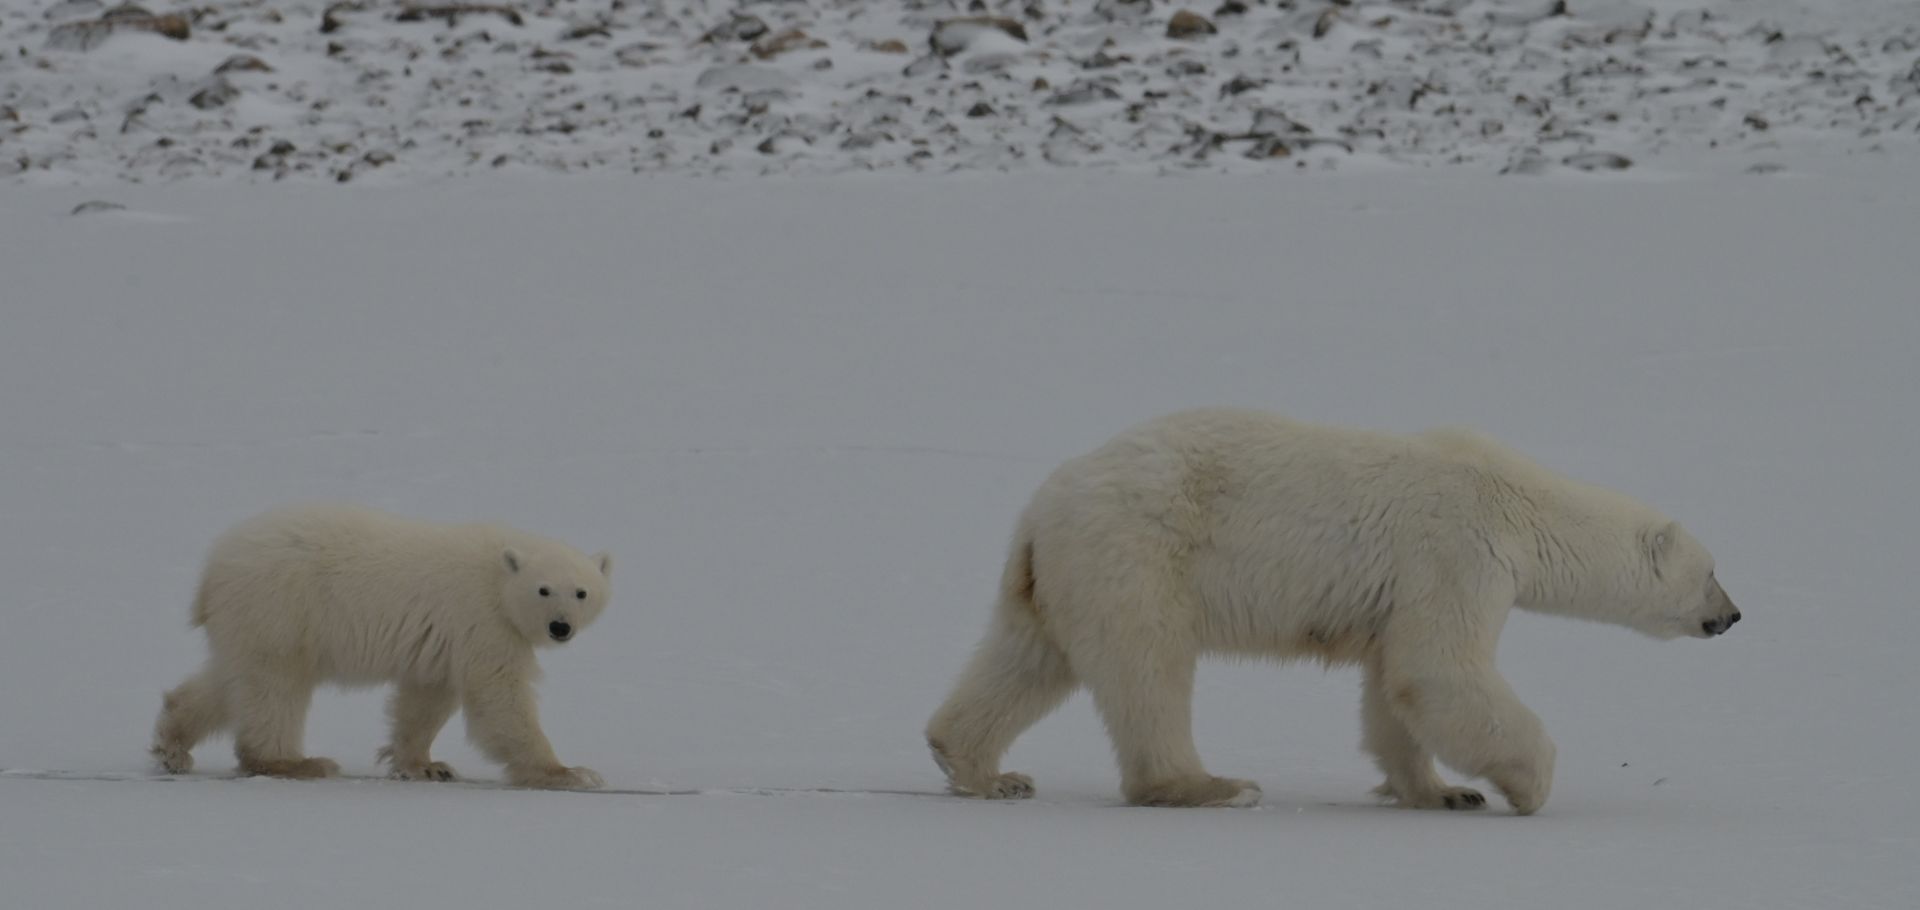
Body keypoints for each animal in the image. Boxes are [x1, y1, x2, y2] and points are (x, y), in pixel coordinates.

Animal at [150, 502, 614, 790]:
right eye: (543, 589)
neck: (497, 575)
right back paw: (298, 762)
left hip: (251, 620)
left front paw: (426, 766)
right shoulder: (482, 619)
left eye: (582, 592)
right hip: (282, 607)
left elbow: (426, 698)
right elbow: (499, 697)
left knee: (230, 680)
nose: (560, 627)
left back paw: (172, 746)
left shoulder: (443, 639)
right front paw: (570, 773)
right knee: (275, 686)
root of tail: (214, 567)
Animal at [925, 408, 1740, 815]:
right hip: (1139, 556)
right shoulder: (1457, 552)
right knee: (1148, 671)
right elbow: (1439, 671)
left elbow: (1394, 688)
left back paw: (984, 768)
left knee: (1028, 659)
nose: (1734, 615)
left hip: (1062, 575)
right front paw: (1528, 786)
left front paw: (1445, 791)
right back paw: (1213, 786)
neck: (1518, 502)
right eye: (1711, 573)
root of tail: (1041, 509)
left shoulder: (1405, 589)